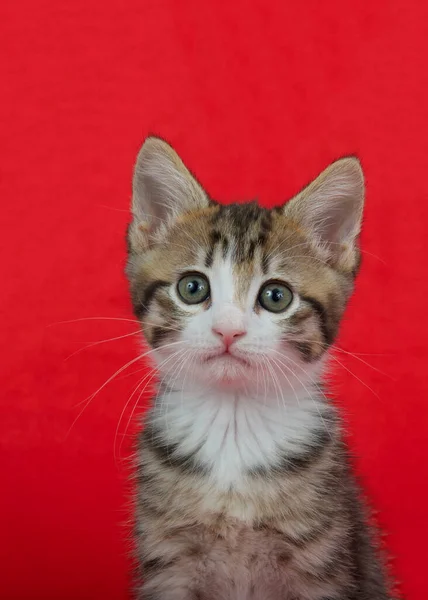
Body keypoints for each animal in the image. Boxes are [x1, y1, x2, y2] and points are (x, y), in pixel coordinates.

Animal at [125, 137, 396, 600]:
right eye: (192, 288)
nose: (228, 331)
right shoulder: (171, 561)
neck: (233, 428)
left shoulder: (321, 560)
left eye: (276, 296)